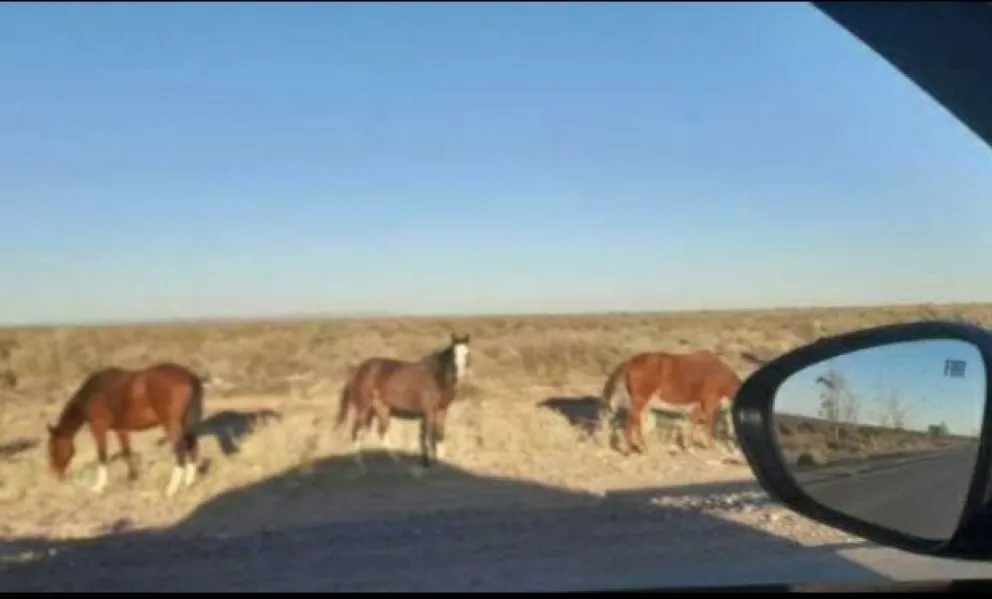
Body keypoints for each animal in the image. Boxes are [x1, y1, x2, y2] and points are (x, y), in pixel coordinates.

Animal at [46, 362, 206, 497]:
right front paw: (132, 477)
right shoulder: (121, 429)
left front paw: (99, 487)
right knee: (192, 446)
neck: (94, 392)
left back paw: (171, 489)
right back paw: (189, 482)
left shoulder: (98, 428)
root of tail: (189, 377)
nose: (54, 474)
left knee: (180, 452)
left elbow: (102, 455)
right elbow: (126, 451)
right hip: (187, 423)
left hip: (172, 425)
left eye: (53, 448)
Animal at [334, 333, 471, 471]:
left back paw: (395, 461)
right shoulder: (430, 412)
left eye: (467, 354)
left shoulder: (442, 411)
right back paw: (362, 465)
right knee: (356, 431)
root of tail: (358, 370)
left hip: (379, 410)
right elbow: (429, 436)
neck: (436, 377)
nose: (459, 375)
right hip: (364, 408)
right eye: (453, 355)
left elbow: (440, 435)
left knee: (378, 432)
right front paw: (428, 463)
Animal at [598, 350, 767, 456]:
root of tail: (630, 362)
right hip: (640, 400)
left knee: (636, 421)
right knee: (632, 421)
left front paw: (689, 447)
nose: (738, 446)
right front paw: (712, 447)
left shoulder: (698, 405)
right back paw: (631, 449)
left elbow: (693, 424)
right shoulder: (710, 403)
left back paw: (642, 447)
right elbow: (709, 426)